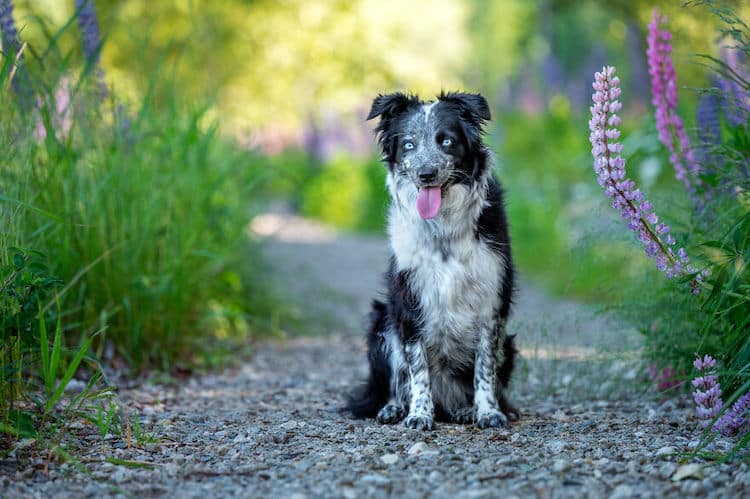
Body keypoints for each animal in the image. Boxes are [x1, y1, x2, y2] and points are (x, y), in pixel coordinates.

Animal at [348, 92, 520, 432]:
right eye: (409, 144)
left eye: (447, 141)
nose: (425, 174)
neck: (442, 231)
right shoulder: (409, 304)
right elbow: (418, 369)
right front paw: (419, 414)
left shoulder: (491, 304)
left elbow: (484, 368)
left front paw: (488, 412)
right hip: (382, 325)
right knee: (395, 381)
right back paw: (394, 408)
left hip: (508, 344)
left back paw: (464, 410)